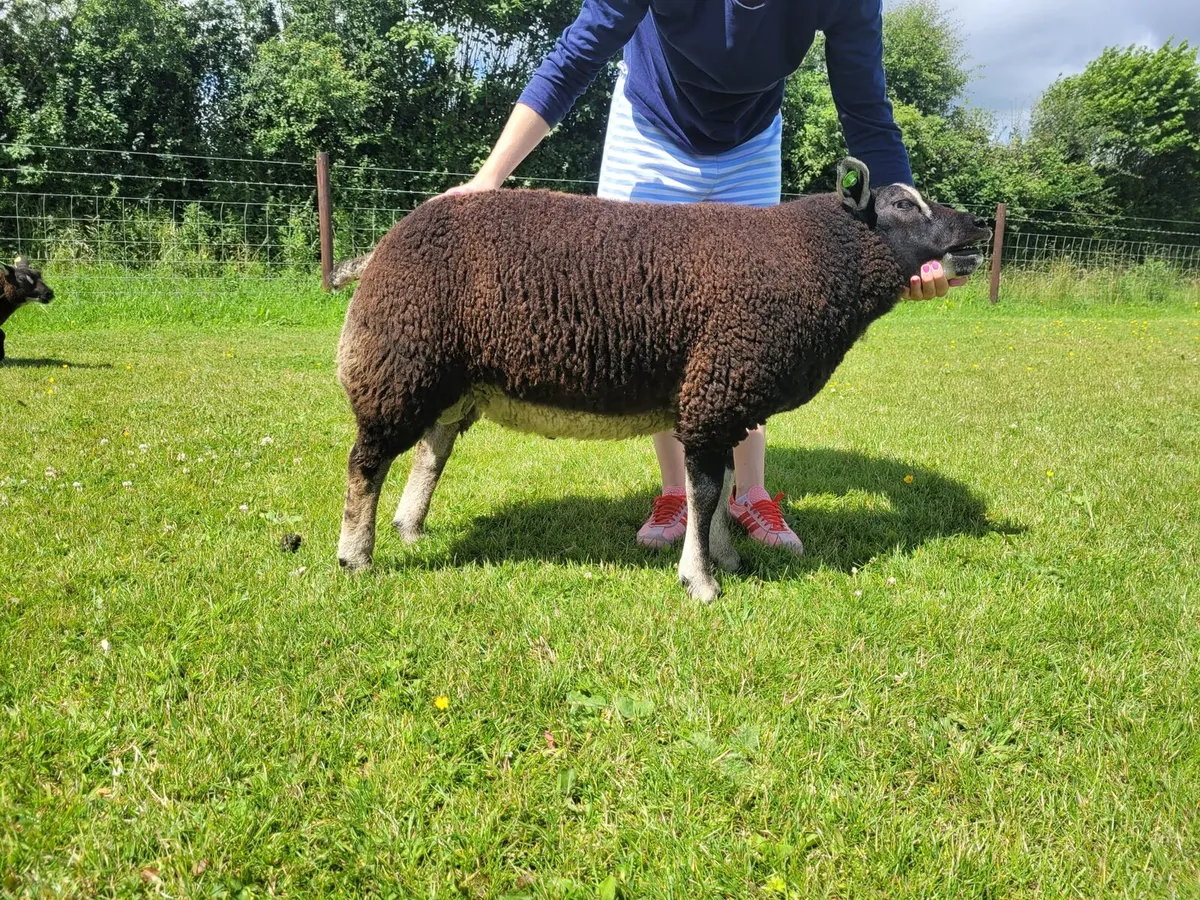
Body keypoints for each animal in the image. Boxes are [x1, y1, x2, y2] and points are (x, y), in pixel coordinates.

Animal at [333, 157, 992, 602]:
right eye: (902, 206)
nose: (979, 224)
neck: (814, 259)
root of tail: (377, 252)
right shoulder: (714, 390)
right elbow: (703, 491)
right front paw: (699, 580)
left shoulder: (724, 399)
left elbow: (723, 486)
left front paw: (725, 558)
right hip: (400, 367)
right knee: (366, 463)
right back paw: (355, 557)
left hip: (451, 381)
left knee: (430, 451)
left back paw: (410, 530)